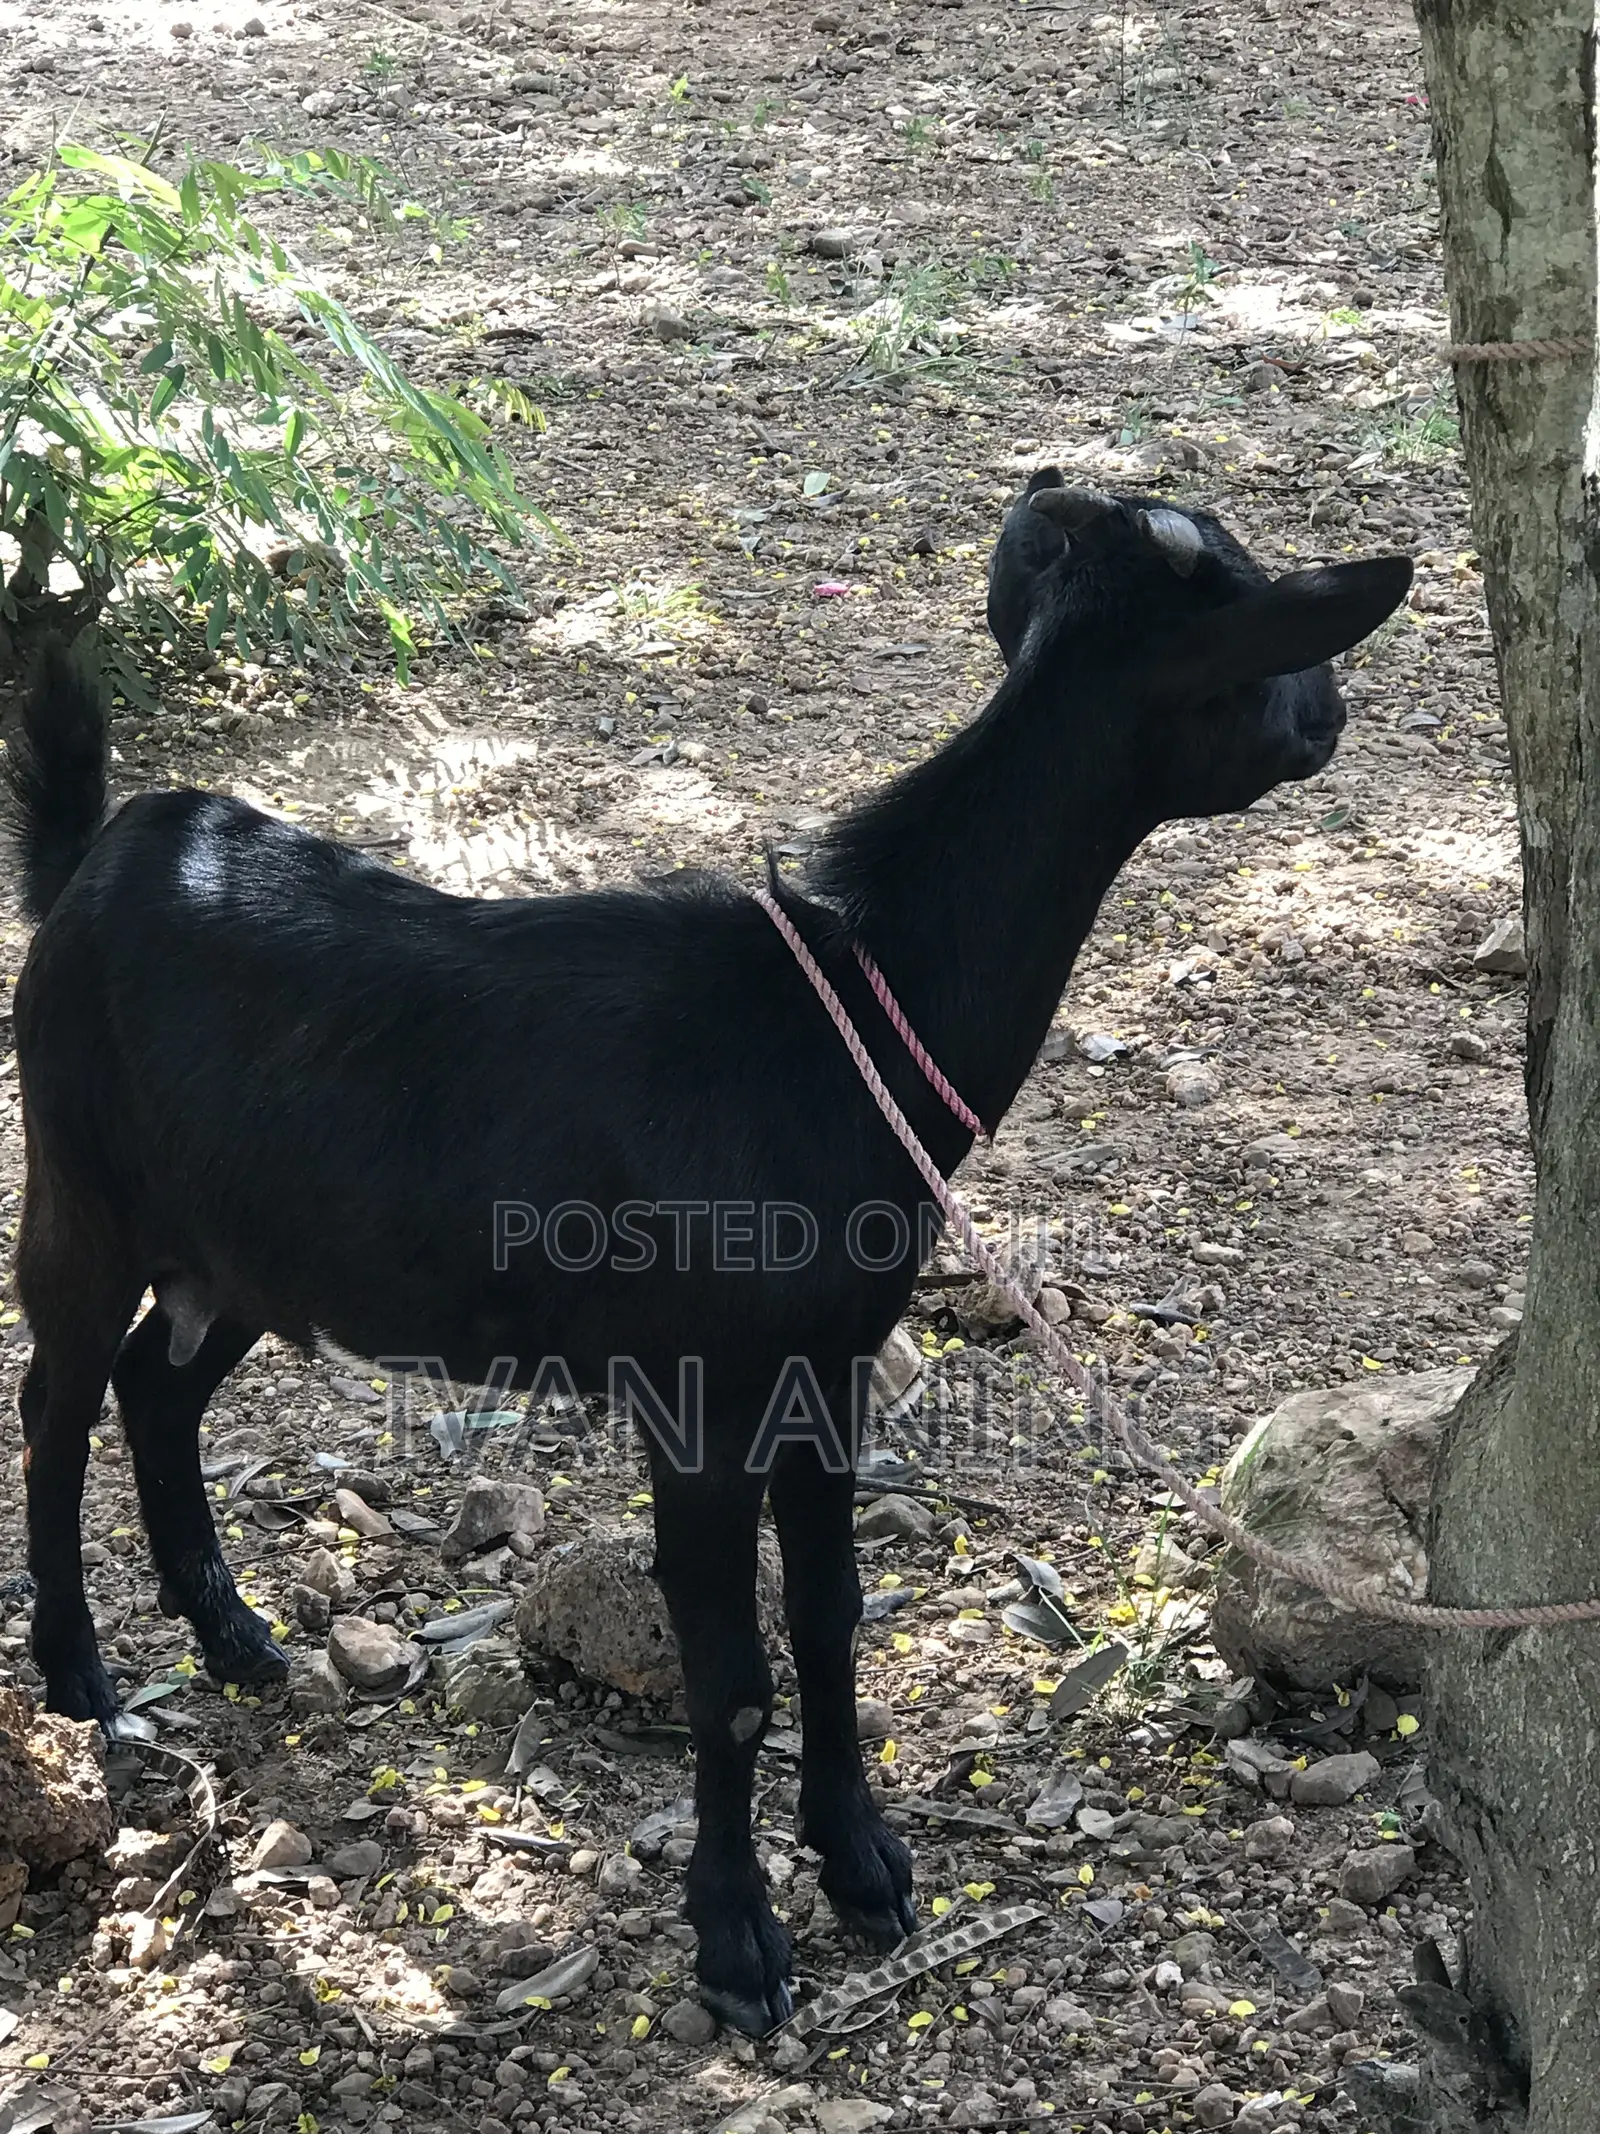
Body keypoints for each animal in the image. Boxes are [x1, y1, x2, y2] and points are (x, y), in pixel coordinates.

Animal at [3, 473, 1410, 2033]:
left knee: (158, 1385)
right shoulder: (699, 1393)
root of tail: (92, 861)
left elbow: (833, 1613)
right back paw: (80, 1672)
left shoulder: (829, 1362)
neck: (843, 1020)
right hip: (83, 1186)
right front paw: (739, 1943)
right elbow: (730, 1676)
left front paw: (866, 1868)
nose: (1335, 707)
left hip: (248, 1247)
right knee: (58, 1395)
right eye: (1258, 630)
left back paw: (233, 1635)